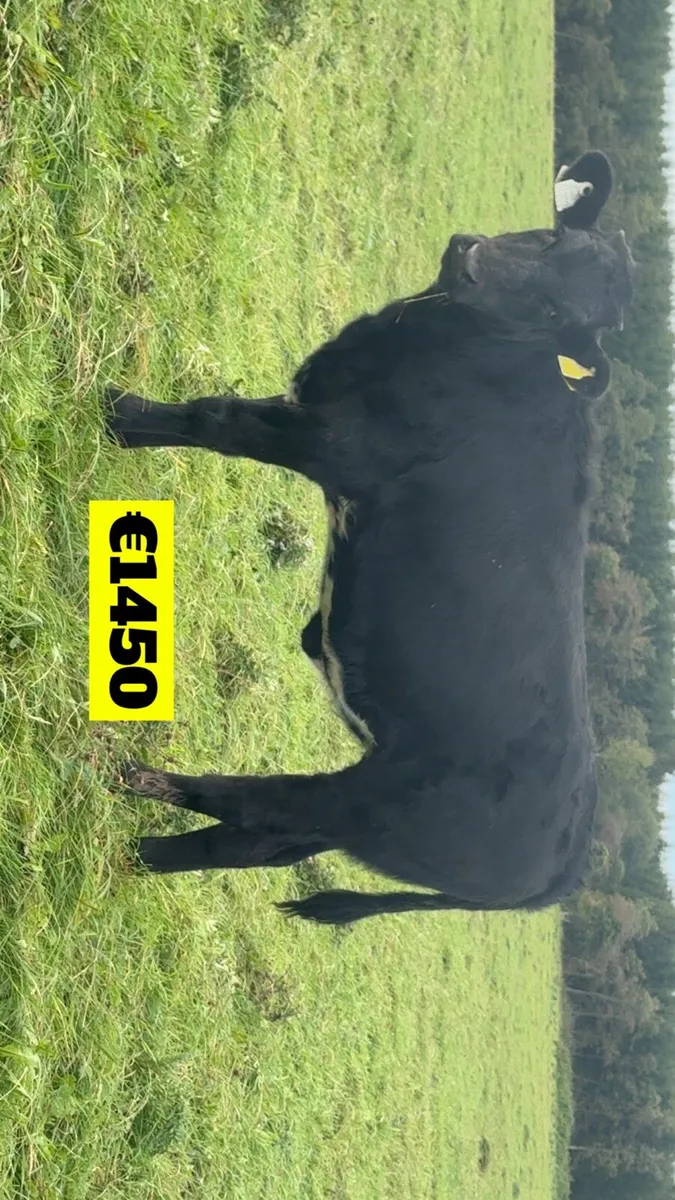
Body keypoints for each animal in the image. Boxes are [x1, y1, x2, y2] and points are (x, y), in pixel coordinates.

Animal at [104, 150, 635, 924]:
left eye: (553, 314)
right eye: (552, 240)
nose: (472, 260)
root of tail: (566, 865)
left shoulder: (339, 445)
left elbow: (216, 419)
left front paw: (116, 413)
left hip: (375, 805)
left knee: (260, 810)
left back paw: (130, 778)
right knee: (254, 842)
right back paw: (133, 856)